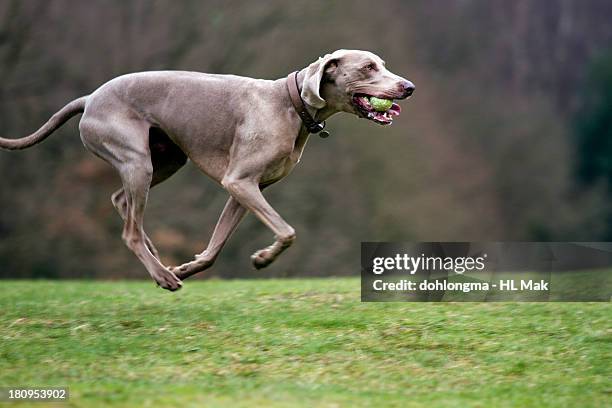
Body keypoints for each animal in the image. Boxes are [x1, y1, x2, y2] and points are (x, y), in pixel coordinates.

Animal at [1, 48, 416, 290]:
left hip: (167, 158)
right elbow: (288, 231)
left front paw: (189, 267)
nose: (409, 86)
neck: (290, 103)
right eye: (368, 67)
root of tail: (89, 98)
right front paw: (262, 259)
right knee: (128, 230)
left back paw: (162, 262)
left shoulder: (246, 189)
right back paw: (162, 276)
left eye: (382, 65)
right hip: (137, 160)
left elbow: (215, 248)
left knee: (121, 202)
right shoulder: (240, 182)